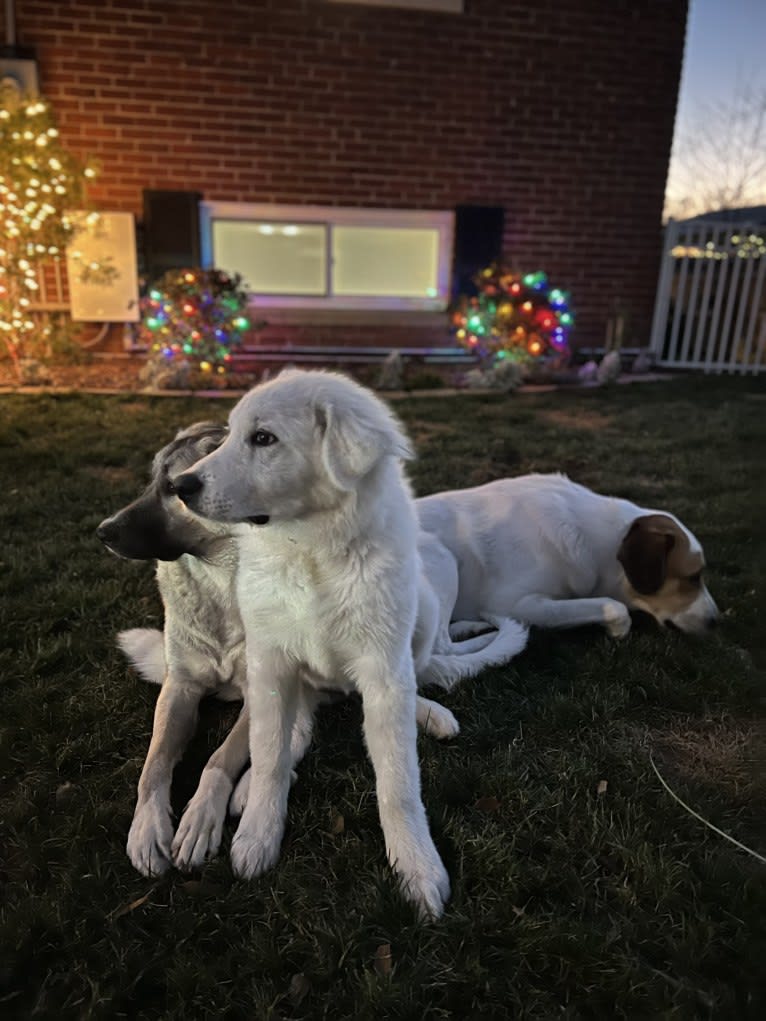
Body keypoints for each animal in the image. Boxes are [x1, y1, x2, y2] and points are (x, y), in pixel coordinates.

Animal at [173, 371, 449, 922]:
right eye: (230, 434)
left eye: (263, 439)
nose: (181, 486)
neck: (312, 548)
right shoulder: (270, 659)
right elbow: (270, 753)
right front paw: (258, 835)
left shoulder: (384, 669)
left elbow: (398, 782)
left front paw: (417, 868)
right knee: (291, 725)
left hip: (423, 611)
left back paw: (429, 712)